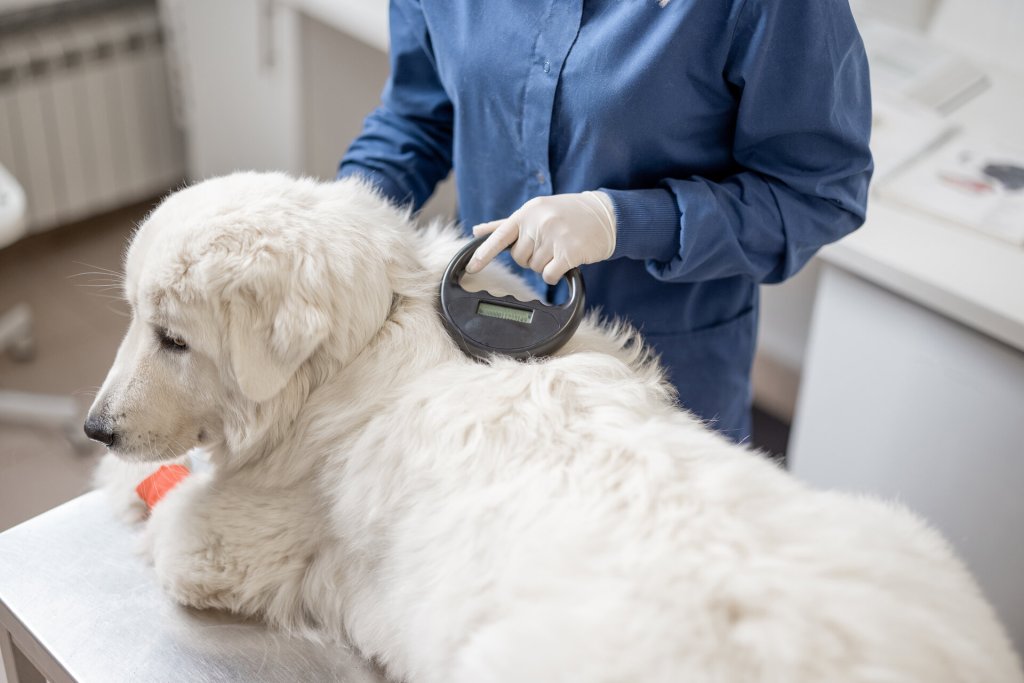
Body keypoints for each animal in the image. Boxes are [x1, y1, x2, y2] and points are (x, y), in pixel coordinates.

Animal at [92, 175, 1019, 683]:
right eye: (133, 317)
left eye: (173, 339)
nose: (96, 426)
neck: (373, 328)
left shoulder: (225, 543)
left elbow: (175, 507)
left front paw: (125, 478)